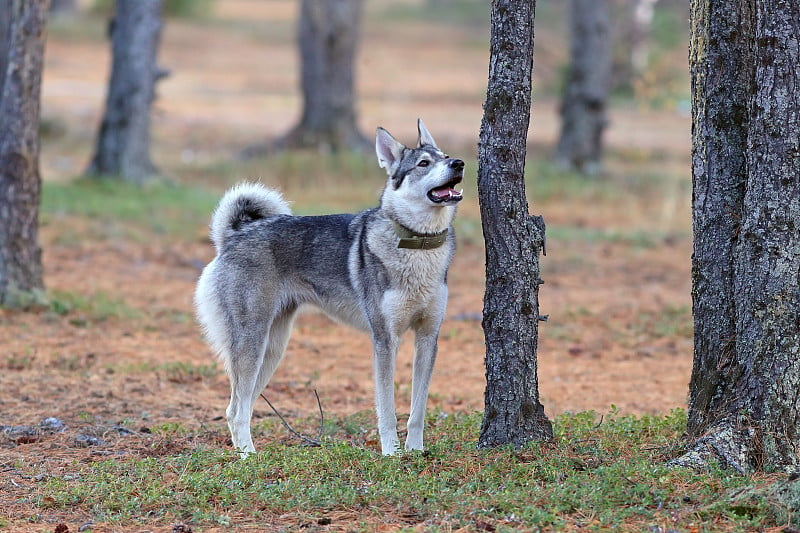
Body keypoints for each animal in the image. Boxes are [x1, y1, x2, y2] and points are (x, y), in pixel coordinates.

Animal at [194, 119, 466, 454]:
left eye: (445, 156)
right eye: (424, 164)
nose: (459, 163)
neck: (418, 245)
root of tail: (233, 235)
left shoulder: (428, 338)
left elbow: (418, 410)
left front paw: (414, 451)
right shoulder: (384, 341)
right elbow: (387, 410)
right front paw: (391, 453)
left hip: (272, 350)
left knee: (241, 406)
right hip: (251, 344)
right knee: (235, 410)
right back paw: (249, 456)